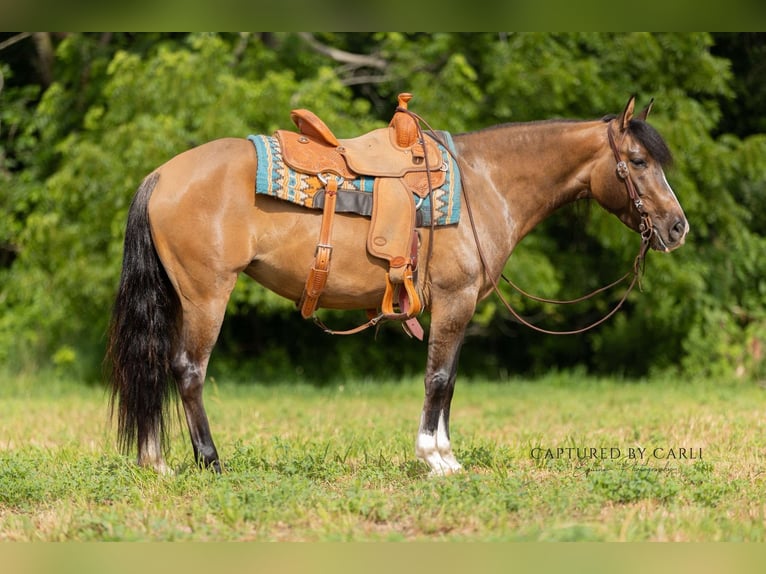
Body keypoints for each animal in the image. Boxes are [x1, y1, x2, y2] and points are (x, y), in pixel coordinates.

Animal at [107, 95, 688, 476]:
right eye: (638, 162)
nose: (677, 227)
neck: (485, 184)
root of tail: (160, 175)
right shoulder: (454, 300)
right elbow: (438, 378)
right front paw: (435, 459)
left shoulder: (457, 307)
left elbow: (448, 380)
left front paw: (447, 453)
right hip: (207, 296)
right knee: (188, 371)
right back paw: (209, 461)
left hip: (180, 297)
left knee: (158, 366)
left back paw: (155, 462)